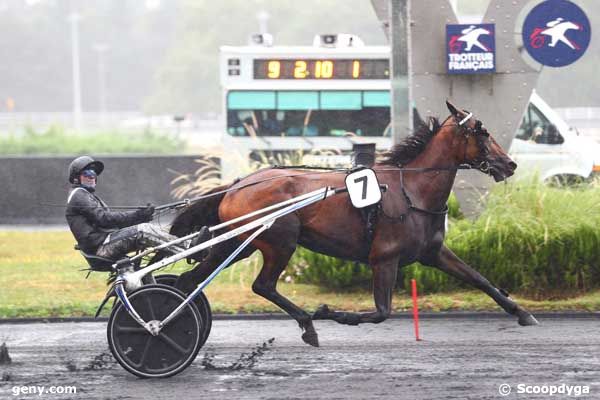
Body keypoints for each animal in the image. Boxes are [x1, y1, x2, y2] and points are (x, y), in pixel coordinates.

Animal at [169, 101, 540, 346]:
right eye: (483, 133)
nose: (510, 164)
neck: (412, 191)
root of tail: (237, 184)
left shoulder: (433, 253)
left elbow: (481, 280)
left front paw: (523, 313)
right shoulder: (384, 258)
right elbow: (381, 311)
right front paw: (330, 312)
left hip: (238, 244)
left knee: (190, 281)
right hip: (280, 241)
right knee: (263, 286)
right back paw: (308, 324)